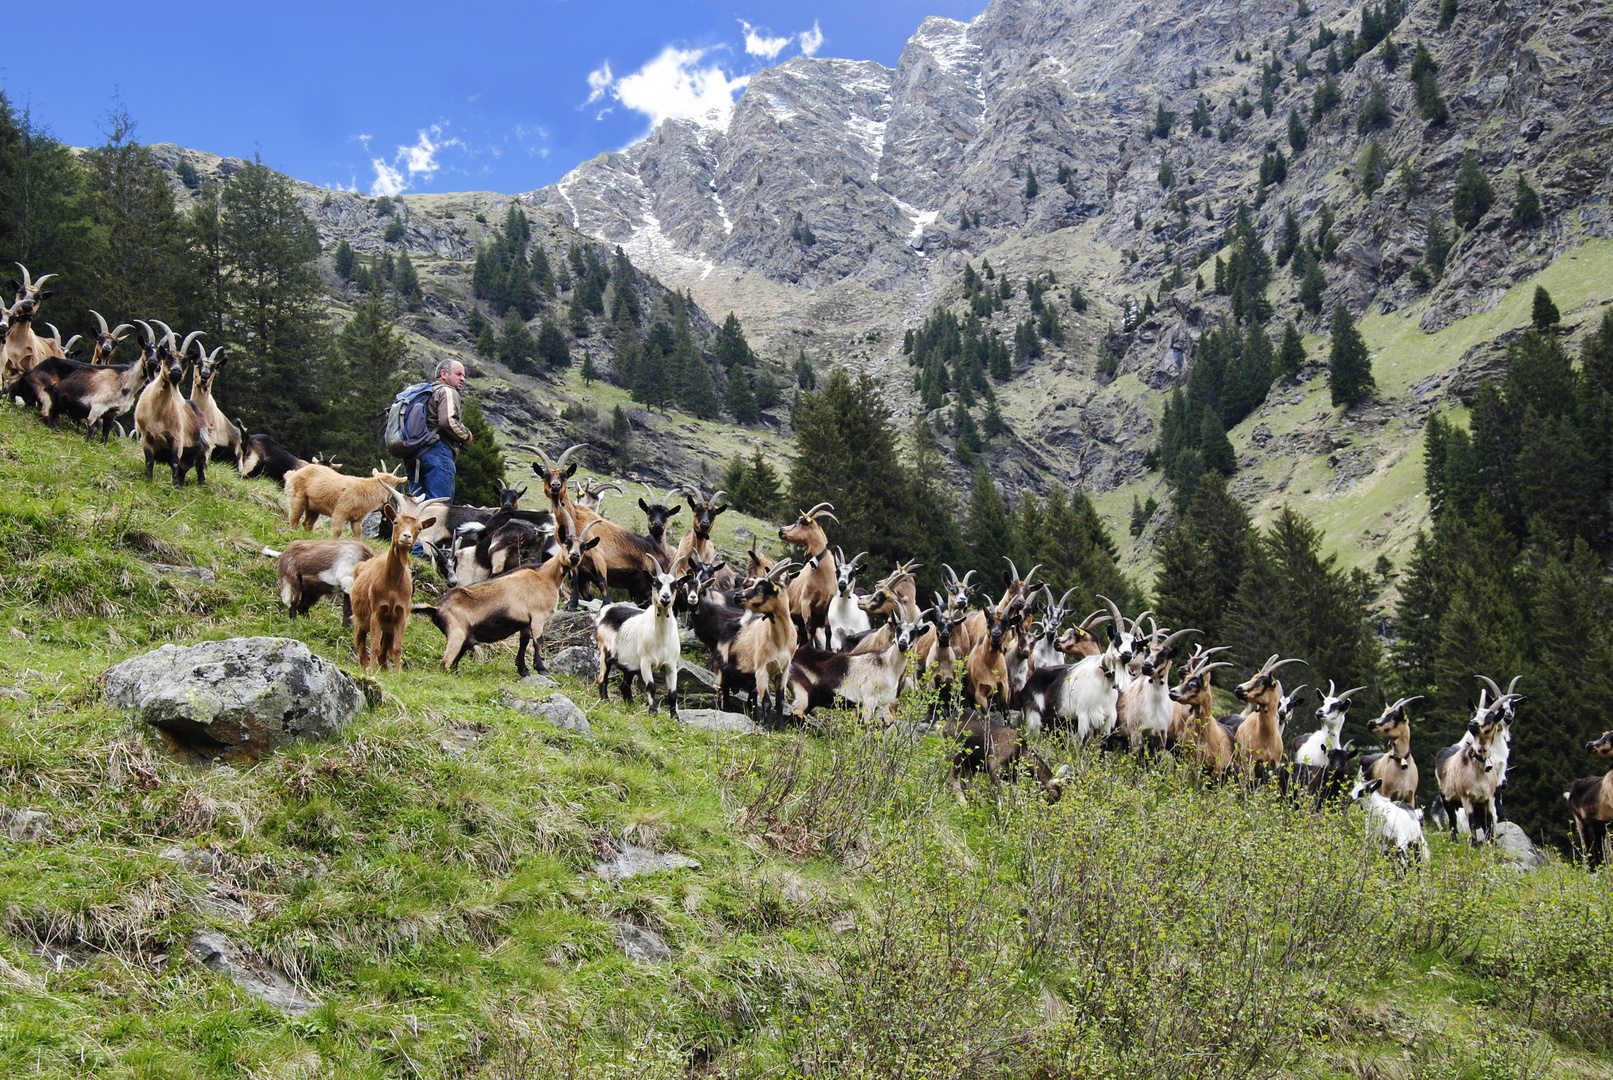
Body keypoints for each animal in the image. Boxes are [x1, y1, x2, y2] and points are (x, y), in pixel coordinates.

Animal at [133, 324, 211, 490]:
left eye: (186, 362)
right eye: (167, 357)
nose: (176, 371)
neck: (157, 413)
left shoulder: (177, 438)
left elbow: (175, 462)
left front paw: (175, 488)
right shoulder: (146, 436)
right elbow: (149, 461)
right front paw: (149, 481)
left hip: (201, 449)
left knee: (200, 470)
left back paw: (200, 487)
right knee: (184, 470)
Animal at [348, 506, 435, 667]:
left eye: (419, 528)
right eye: (395, 522)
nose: (406, 536)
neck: (392, 585)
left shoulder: (400, 614)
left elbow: (397, 648)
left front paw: (397, 672)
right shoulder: (376, 611)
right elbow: (374, 646)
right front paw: (371, 670)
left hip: (388, 628)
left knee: (383, 654)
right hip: (360, 621)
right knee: (362, 649)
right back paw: (365, 668)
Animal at [416, 515, 600, 677]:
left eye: (583, 546)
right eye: (567, 542)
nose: (574, 557)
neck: (545, 576)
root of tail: (437, 608)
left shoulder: (526, 621)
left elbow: (524, 641)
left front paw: (523, 669)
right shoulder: (538, 617)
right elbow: (538, 641)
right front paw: (541, 669)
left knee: (452, 664)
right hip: (457, 635)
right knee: (445, 664)